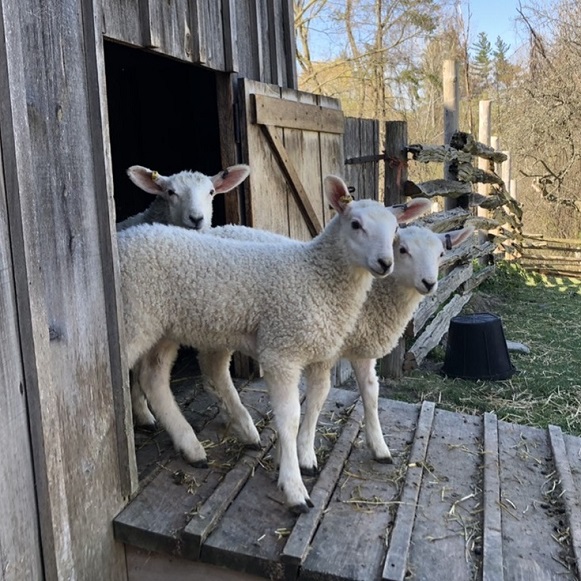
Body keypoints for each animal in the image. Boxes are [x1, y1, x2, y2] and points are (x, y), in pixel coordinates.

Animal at [119, 176, 426, 512]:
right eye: (356, 224)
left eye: (395, 231)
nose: (385, 263)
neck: (316, 275)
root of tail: (126, 236)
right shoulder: (282, 352)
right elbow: (289, 417)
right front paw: (294, 487)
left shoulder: (319, 351)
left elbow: (317, 401)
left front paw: (299, 458)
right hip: (134, 319)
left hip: (167, 328)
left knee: (155, 377)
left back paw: (194, 447)